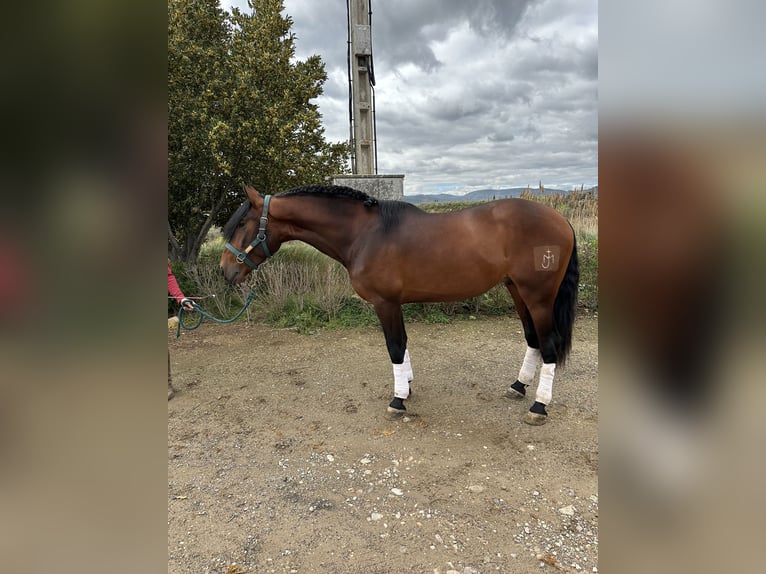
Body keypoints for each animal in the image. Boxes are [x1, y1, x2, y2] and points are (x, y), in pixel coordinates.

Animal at [220, 184, 579, 425]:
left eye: (242, 224)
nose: (225, 270)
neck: (366, 233)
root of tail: (560, 220)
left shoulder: (386, 303)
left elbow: (394, 346)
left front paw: (397, 401)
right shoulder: (394, 304)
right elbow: (403, 345)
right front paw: (406, 386)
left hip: (538, 297)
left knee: (548, 344)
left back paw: (539, 406)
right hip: (517, 290)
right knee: (532, 339)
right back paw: (518, 387)